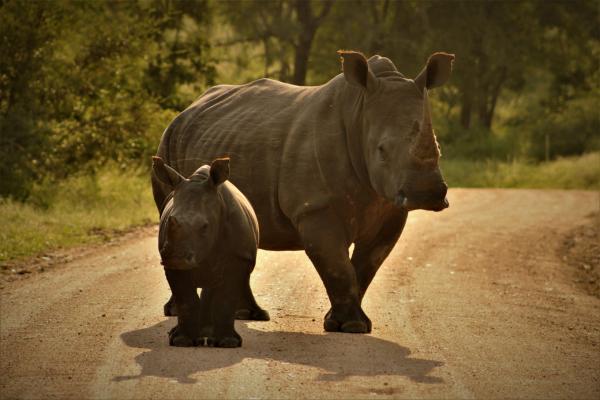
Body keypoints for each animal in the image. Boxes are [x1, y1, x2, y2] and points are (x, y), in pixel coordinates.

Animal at [152, 156, 270, 346]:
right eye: (170, 220)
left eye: (205, 227)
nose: (176, 258)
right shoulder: (171, 265)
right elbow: (185, 298)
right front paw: (182, 341)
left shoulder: (238, 259)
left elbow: (226, 299)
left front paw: (228, 343)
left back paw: (209, 334)